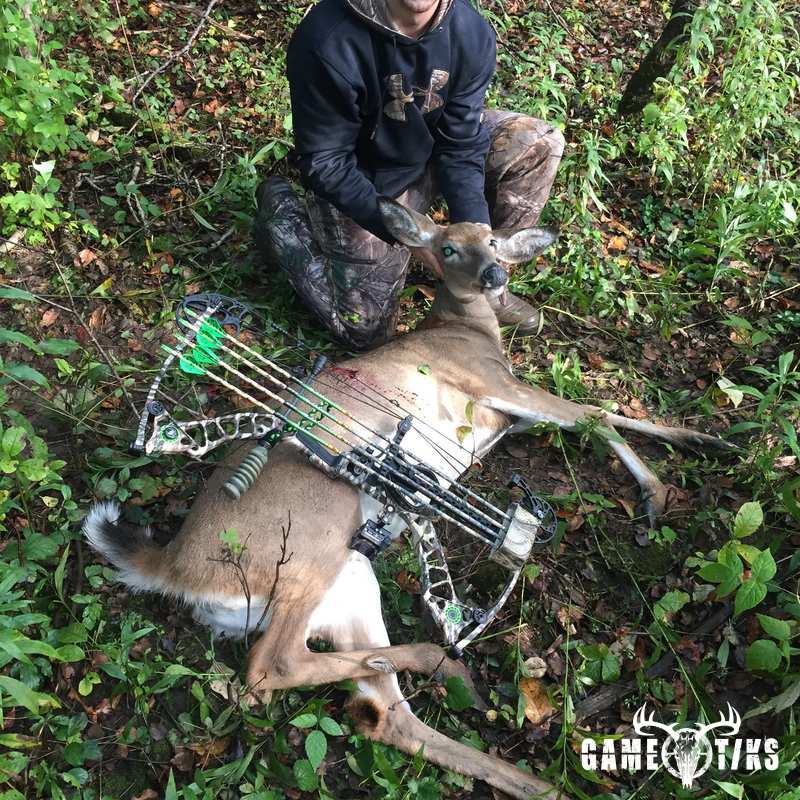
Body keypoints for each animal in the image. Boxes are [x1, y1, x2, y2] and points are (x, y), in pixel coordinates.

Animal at [83, 200, 732, 799]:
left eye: (493, 238)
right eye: (448, 247)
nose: (494, 272)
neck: (467, 330)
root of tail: (173, 566)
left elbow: (598, 417)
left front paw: (702, 443)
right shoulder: (494, 383)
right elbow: (597, 415)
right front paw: (670, 478)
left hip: (349, 579)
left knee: (387, 717)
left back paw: (520, 760)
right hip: (316, 537)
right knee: (270, 670)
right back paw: (435, 658)